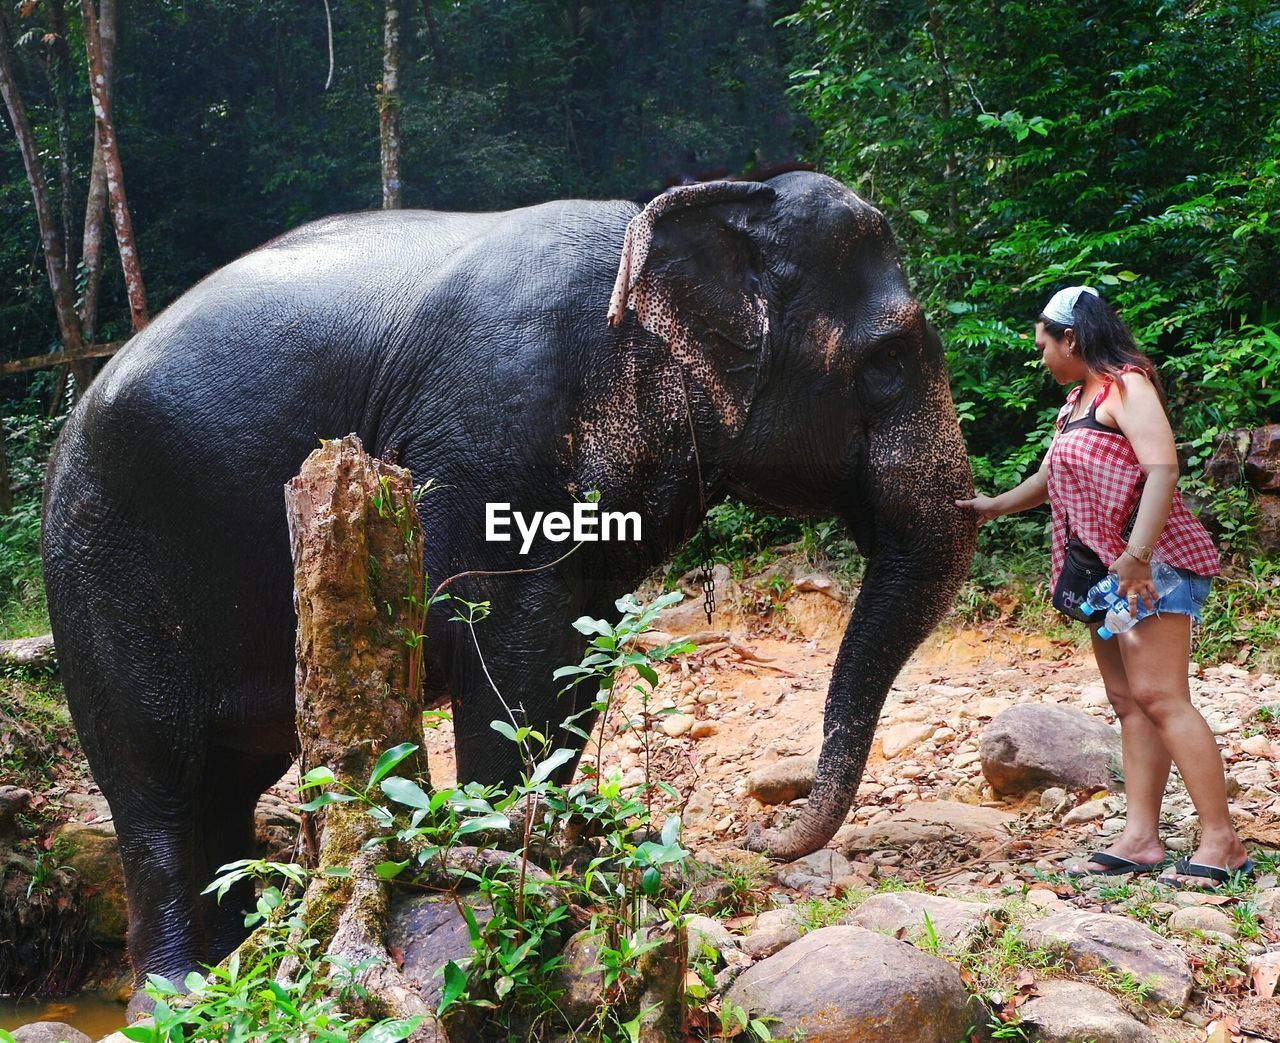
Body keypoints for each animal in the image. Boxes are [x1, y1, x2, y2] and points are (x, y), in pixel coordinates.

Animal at [45, 171, 972, 987]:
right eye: (888, 361)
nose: (760, 836)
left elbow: (571, 663)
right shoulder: (491, 438)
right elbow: (508, 651)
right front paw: (498, 886)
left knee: (229, 781)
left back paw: (247, 950)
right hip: (100, 567)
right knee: (157, 781)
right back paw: (179, 988)